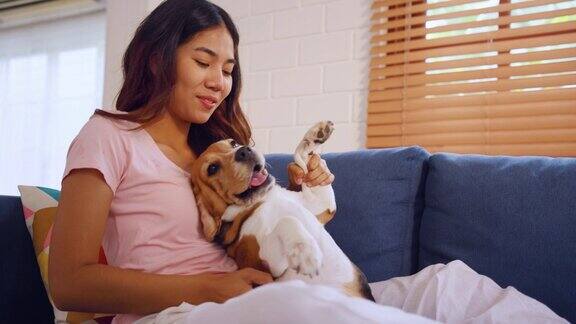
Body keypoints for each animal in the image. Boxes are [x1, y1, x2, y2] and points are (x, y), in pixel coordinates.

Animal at [191, 121, 376, 302]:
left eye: (233, 143)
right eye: (212, 168)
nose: (243, 151)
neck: (264, 199)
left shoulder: (321, 203)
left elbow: (300, 156)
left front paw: (315, 134)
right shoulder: (267, 263)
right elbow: (287, 221)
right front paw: (304, 251)